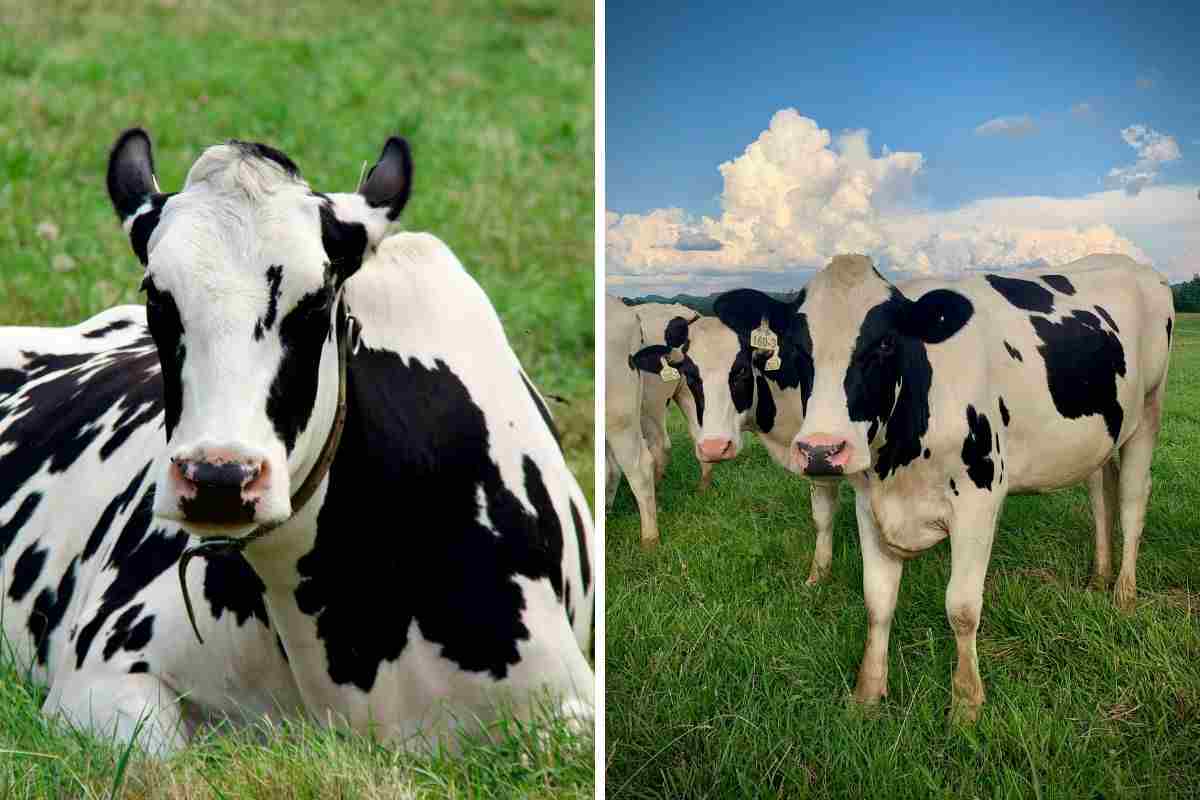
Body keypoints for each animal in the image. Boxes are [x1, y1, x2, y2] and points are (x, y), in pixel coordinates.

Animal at [715, 253, 1172, 720]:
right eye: (795, 348)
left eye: (885, 344)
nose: (822, 451)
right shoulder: (868, 501)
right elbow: (877, 599)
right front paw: (868, 693)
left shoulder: (979, 500)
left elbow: (962, 607)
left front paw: (967, 703)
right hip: (1100, 439)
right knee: (1102, 495)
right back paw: (1098, 576)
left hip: (1148, 411)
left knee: (1132, 504)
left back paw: (1124, 593)